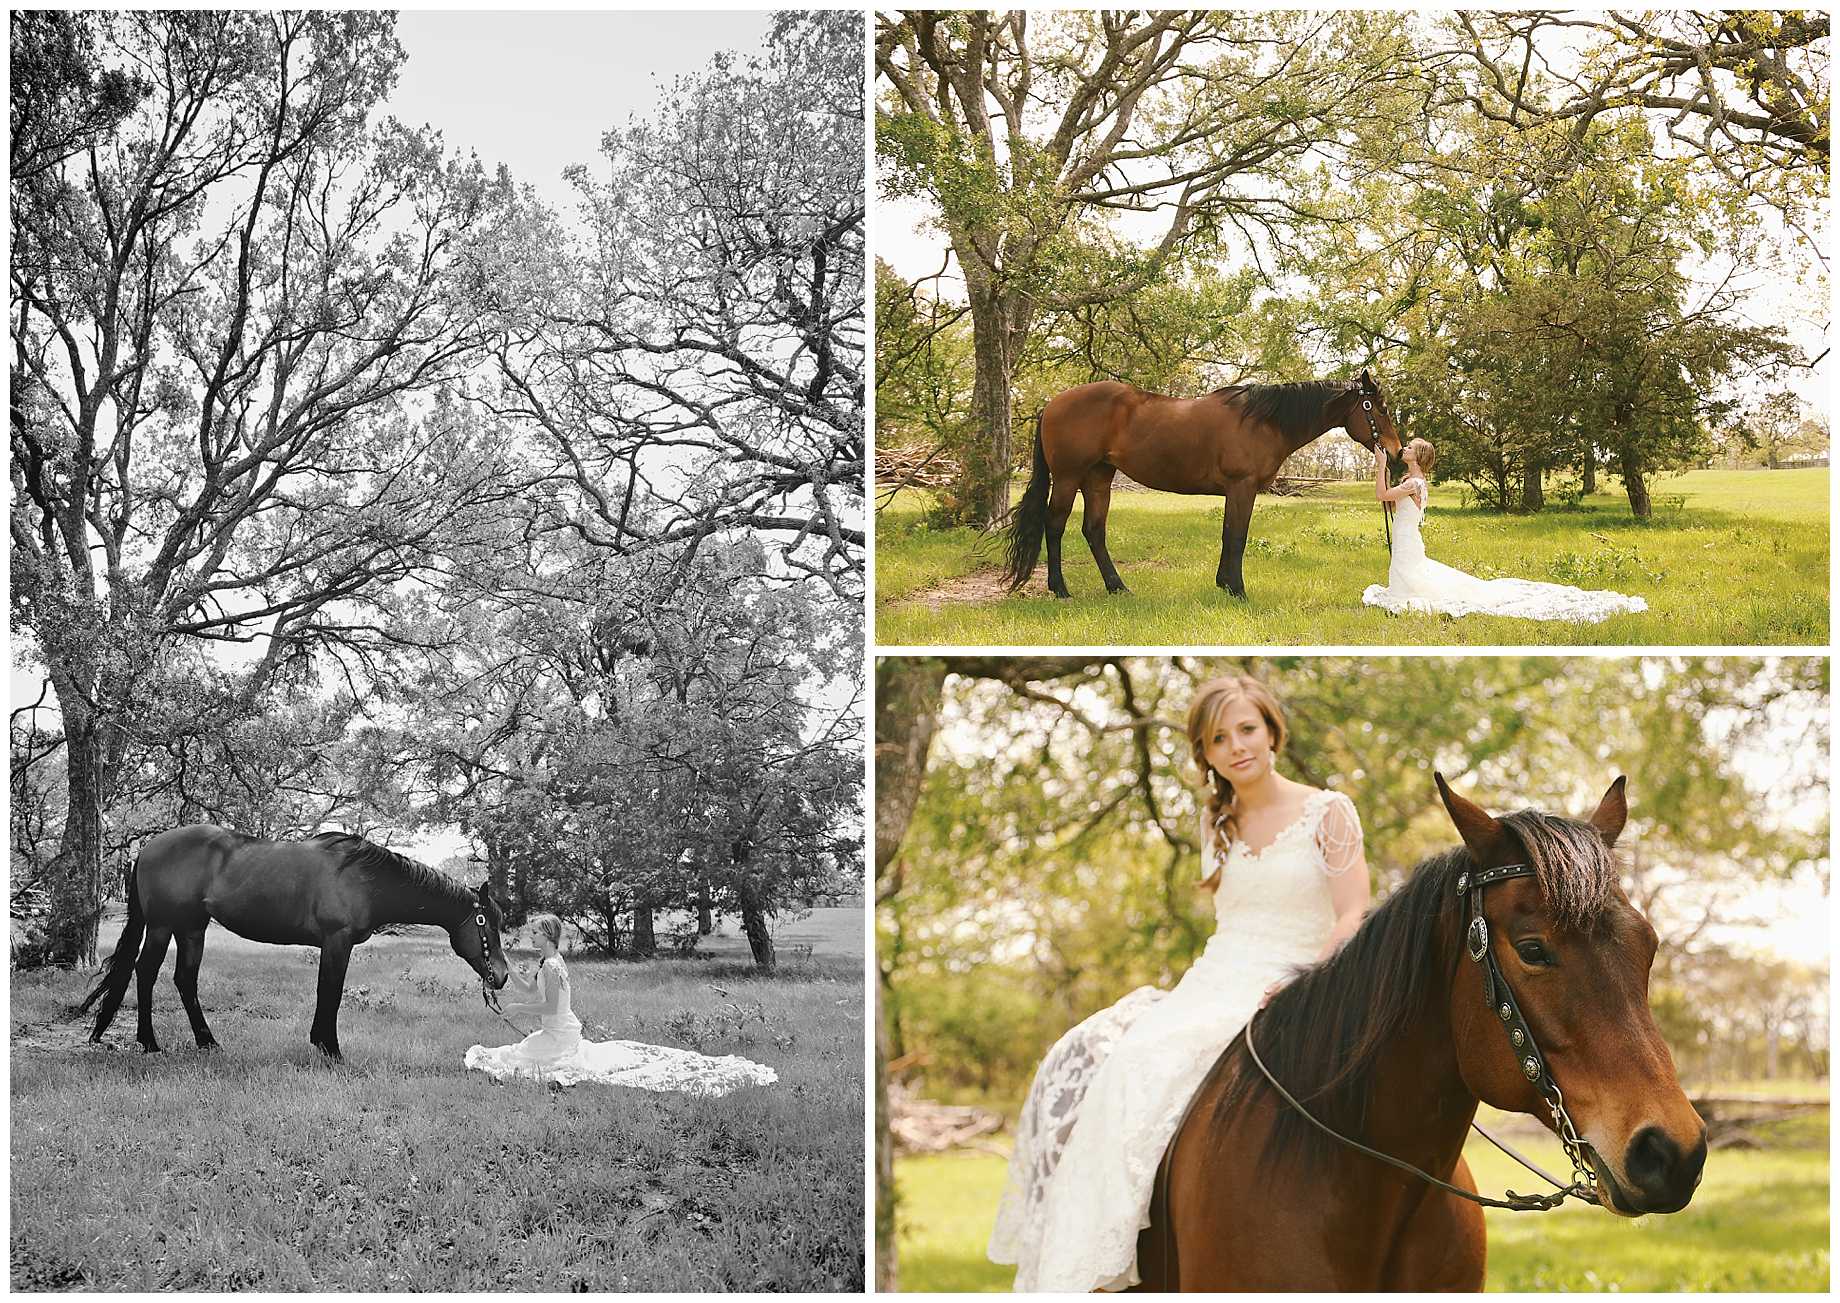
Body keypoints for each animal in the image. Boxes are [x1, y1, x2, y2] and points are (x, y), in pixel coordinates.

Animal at [76, 835, 511, 1060]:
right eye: (486, 924)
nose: (503, 975)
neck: (363, 878)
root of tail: (147, 848)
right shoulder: (337, 942)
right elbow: (330, 992)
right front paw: (330, 1049)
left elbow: (327, 993)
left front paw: (321, 1044)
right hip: (163, 926)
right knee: (146, 974)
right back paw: (149, 1043)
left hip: (191, 929)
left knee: (184, 980)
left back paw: (207, 1042)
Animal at [1000, 371, 1398, 599]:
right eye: (1378, 409)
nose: (1395, 451)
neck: (1262, 421)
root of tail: (1052, 404)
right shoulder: (1242, 487)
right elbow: (1237, 537)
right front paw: (1238, 590)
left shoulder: (1236, 492)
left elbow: (1228, 535)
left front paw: (1224, 584)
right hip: (1068, 478)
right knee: (1055, 526)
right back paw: (1060, 589)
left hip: (1099, 478)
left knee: (1094, 530)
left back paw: (1117, 587)